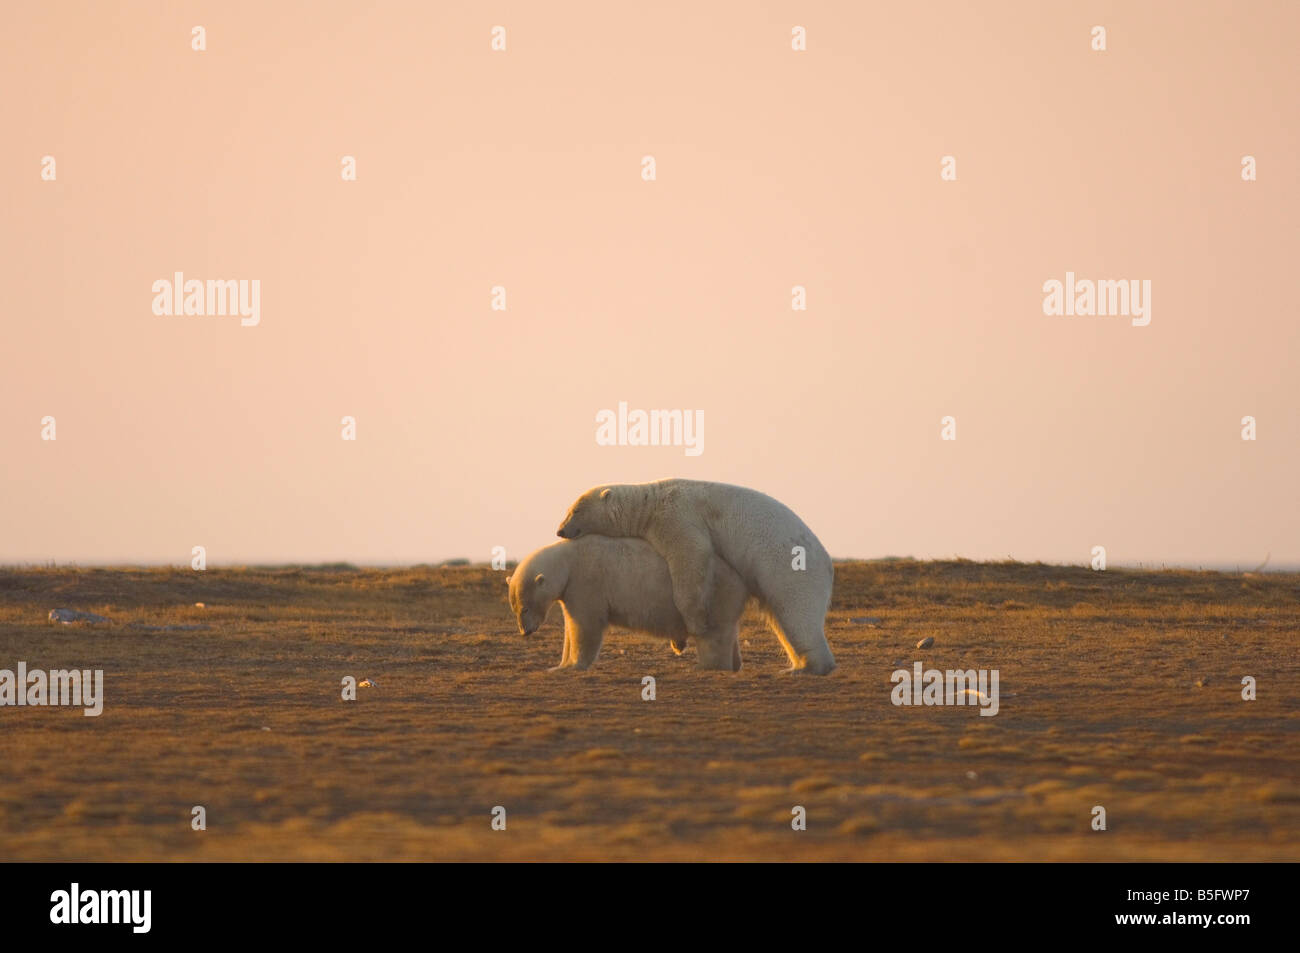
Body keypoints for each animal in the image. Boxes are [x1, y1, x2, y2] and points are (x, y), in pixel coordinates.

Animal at [507, 535, 751, 672]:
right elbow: (570, 626)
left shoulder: (586, 581)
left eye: (525, 607)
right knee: (728, 631)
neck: (568, 559)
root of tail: (741, 578)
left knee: (713, 633)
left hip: (713, 594)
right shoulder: (570, 590)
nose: (524, 631)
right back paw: (734, 663)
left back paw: (708, 665)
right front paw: (558, 665)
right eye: (515, 608)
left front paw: (573, 666)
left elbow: (586, 625)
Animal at [556, 479, 836, 674]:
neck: (650, 502)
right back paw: (796, 665)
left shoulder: (677, 515)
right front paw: (678, 641)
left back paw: (805, 668)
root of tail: (827, 561)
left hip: (790, 567)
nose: (560, 530)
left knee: (797, 614)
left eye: (576, 510)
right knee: (781, 619)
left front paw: (693, 629)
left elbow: (691, 555)